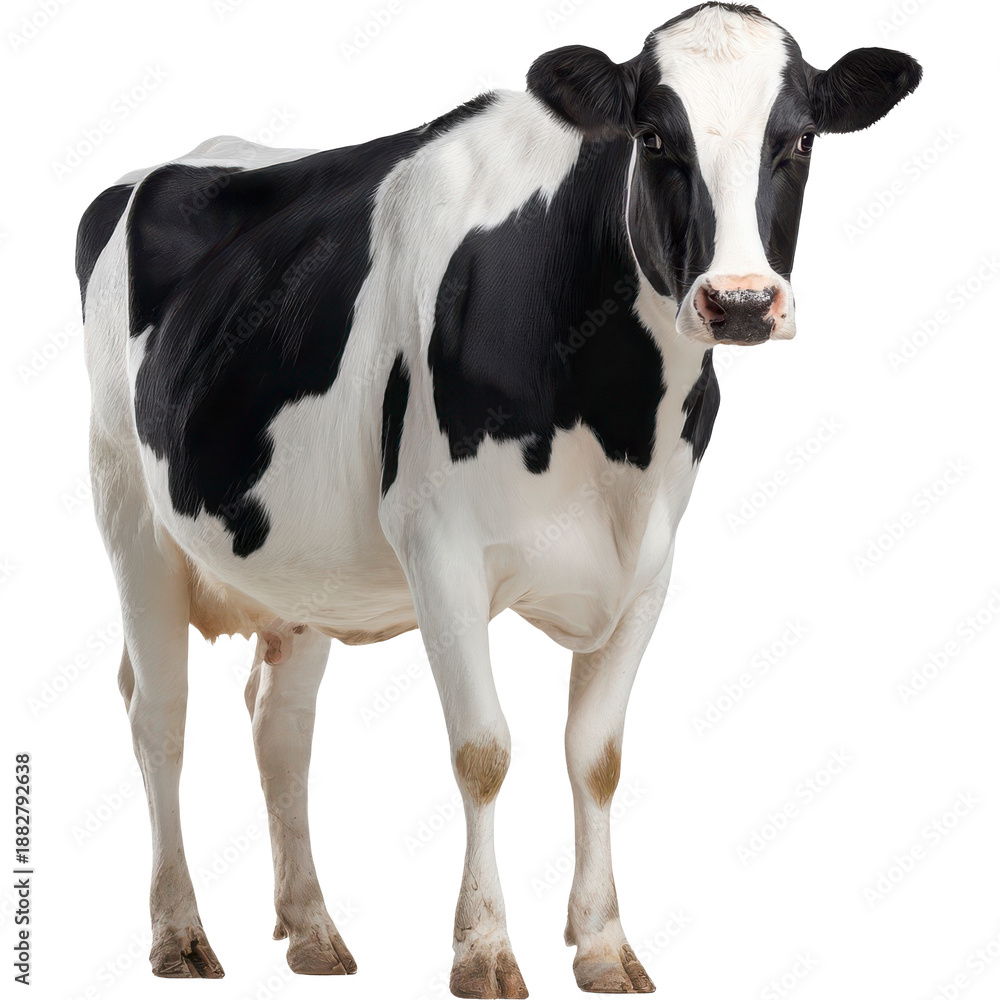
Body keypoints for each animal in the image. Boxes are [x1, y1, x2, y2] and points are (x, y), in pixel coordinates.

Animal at [77, 3, 920, 995]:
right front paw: (483, 949)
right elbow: (483, 751)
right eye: (654, 137)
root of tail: (172, 163)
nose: (742, 302)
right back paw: (179, 934)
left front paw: (603, 944)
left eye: (799, 139)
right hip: (127, 509)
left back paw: (313, 928)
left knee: (280, 725)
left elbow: (596, 757)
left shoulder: (648, 565)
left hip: (302, 565)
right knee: (157, 714)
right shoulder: (438, 547)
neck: (616, 421)